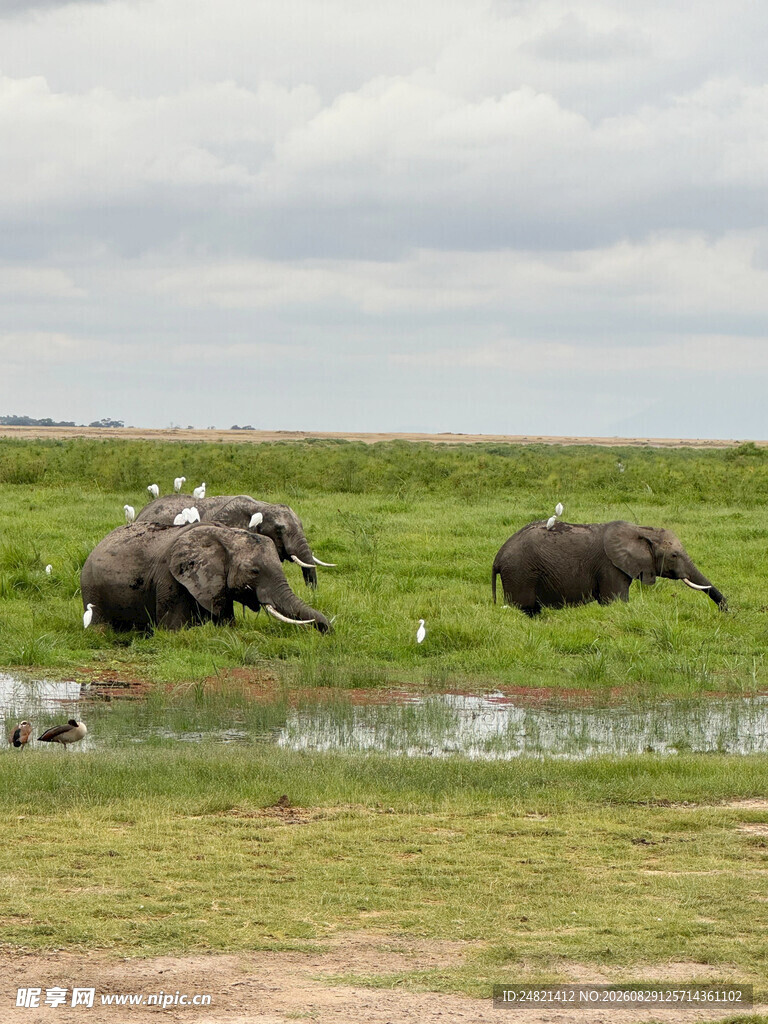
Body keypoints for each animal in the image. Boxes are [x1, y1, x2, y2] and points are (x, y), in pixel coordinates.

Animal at [81, 522, 331, 632]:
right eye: (254, 572)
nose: (327, 631)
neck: (224, 535)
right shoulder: (170, 580)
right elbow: (173, 631)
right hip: (92, 587)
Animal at [492, 520, 727, 616]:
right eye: (674, 555)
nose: (725, 612)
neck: (641, 530)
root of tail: (498, 557)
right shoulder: (610, 566)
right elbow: (615, 601)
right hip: (520, 573)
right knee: (524, 607)